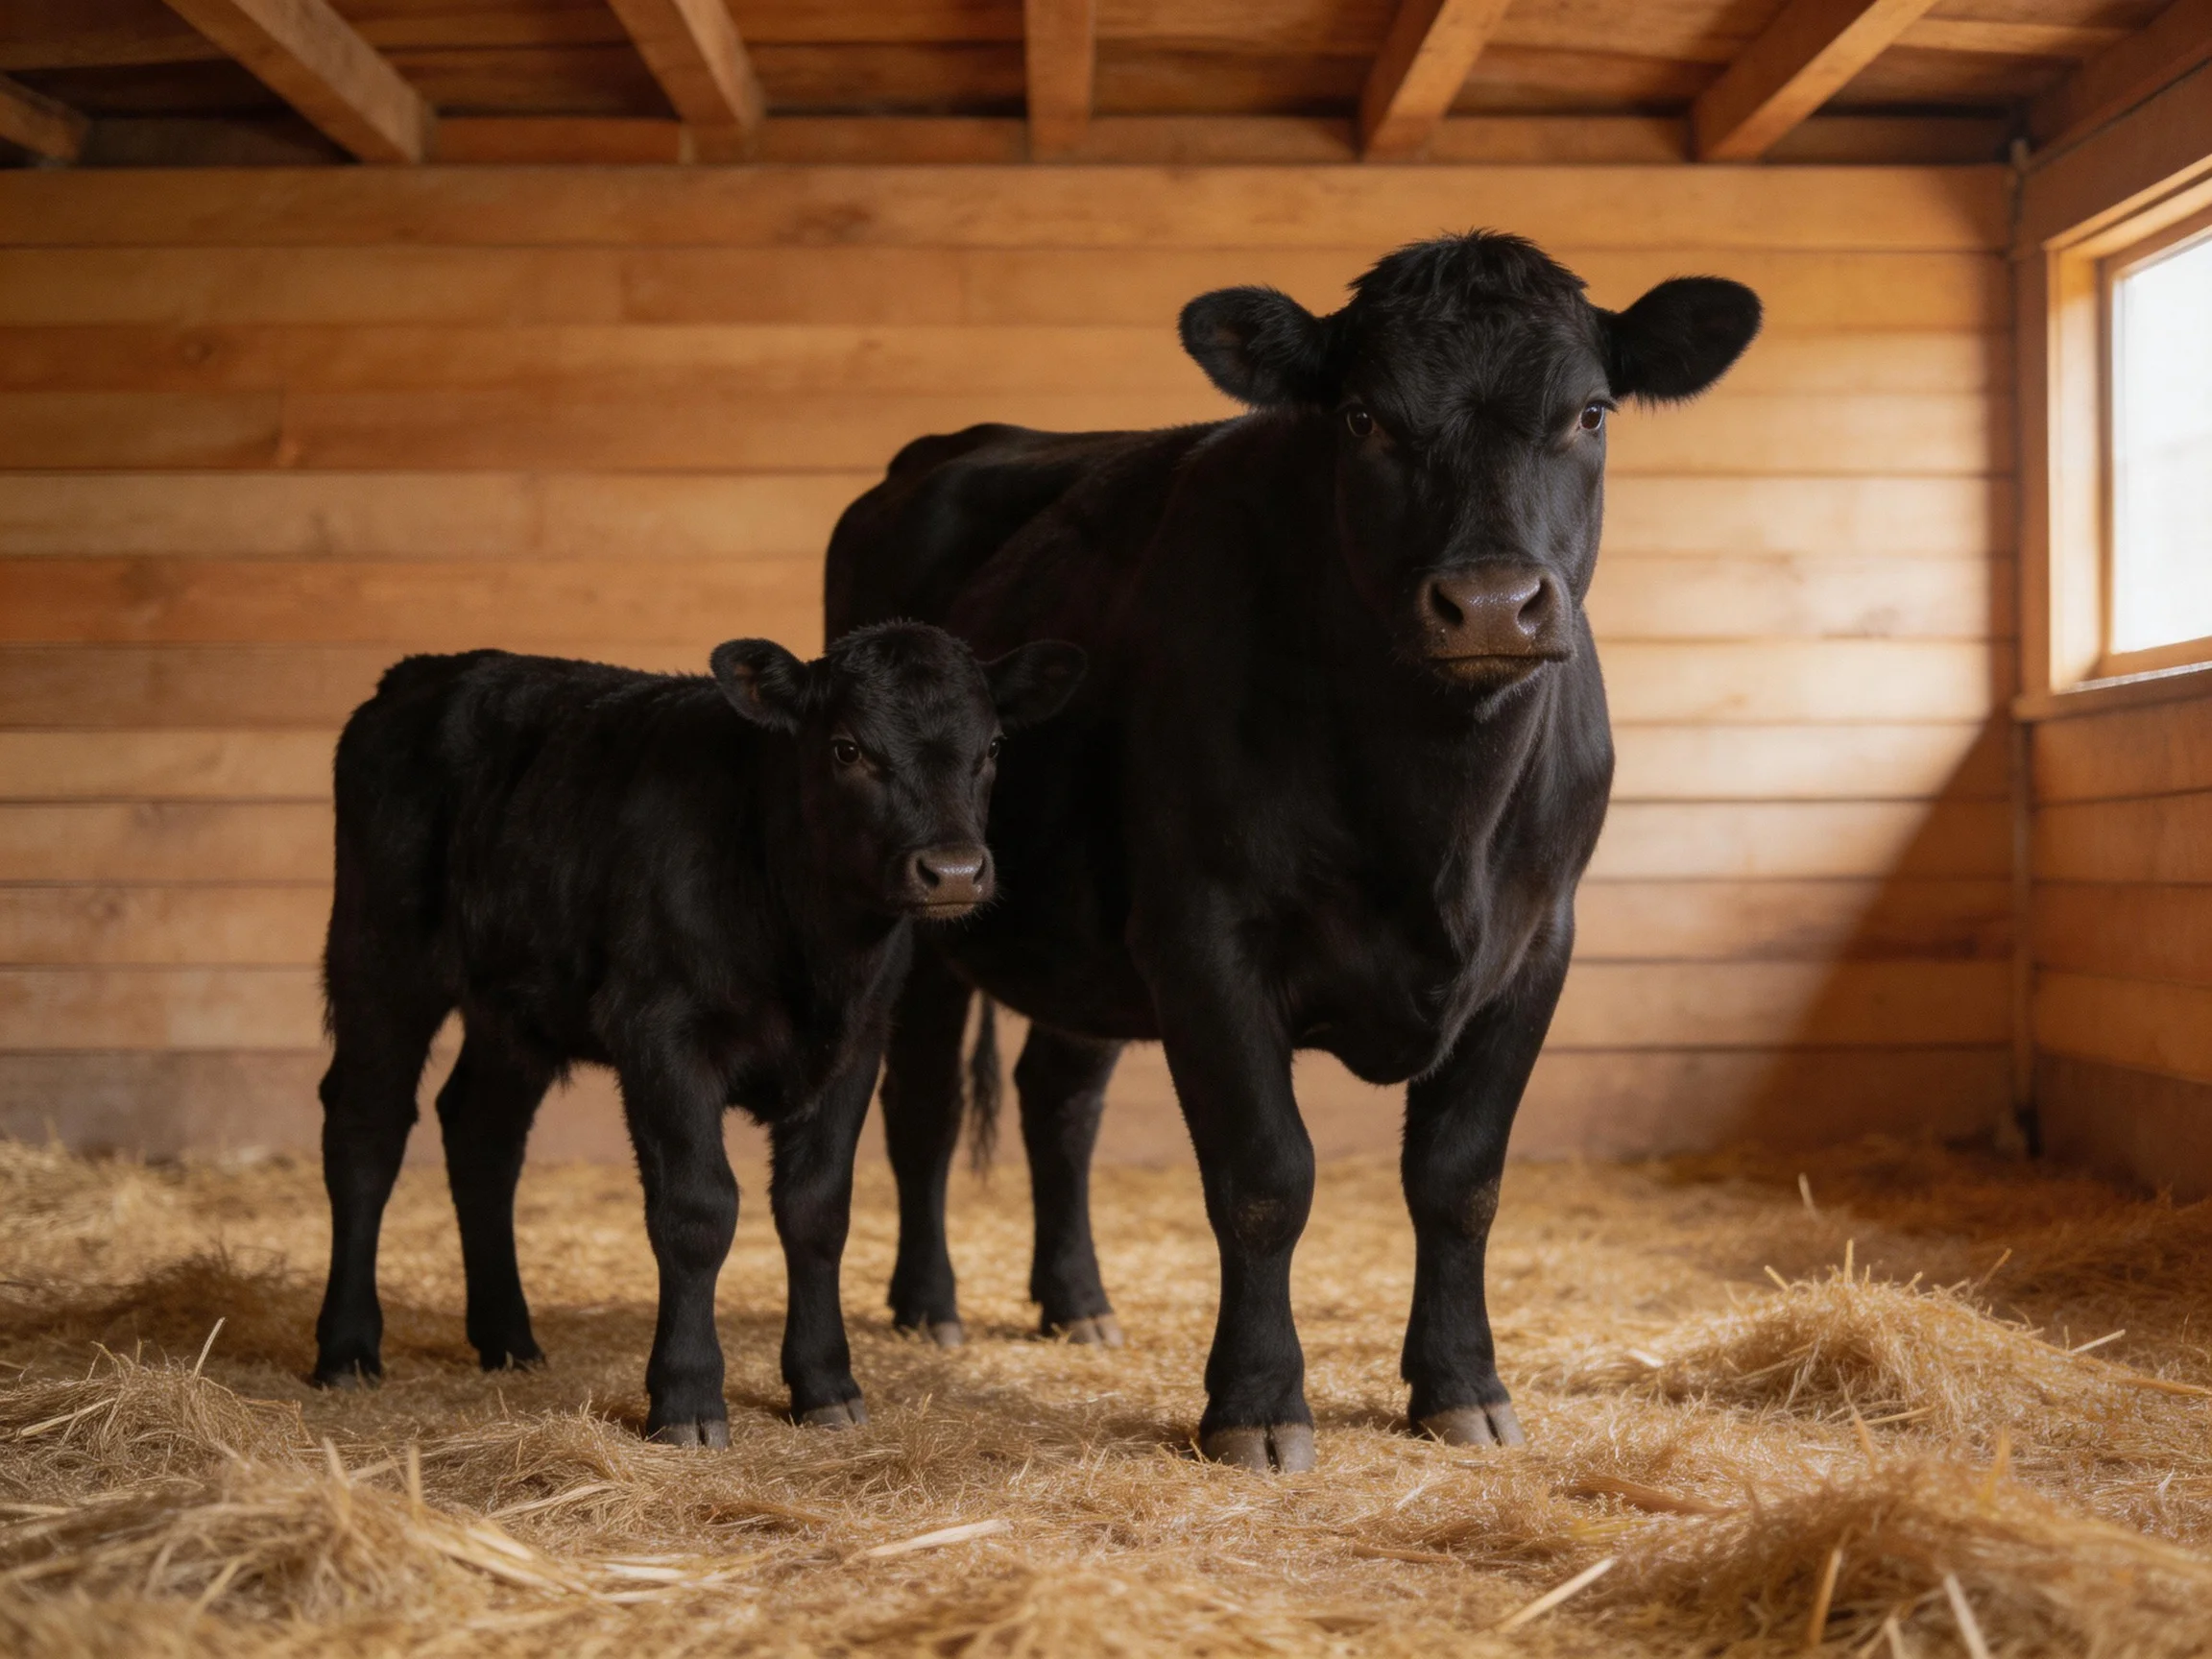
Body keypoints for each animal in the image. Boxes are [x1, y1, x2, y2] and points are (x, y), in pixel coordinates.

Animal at [310, 625, 1084, 1444]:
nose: (955, 870)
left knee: (482, 1133)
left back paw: (509, 1341)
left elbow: (817, 1211)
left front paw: (826, 1385)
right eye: (847, 748)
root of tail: (425, 672)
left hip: (514, 1001)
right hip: (379, 956)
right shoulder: (663, 1035)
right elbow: (697, 1212)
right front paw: (685, 1397)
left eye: (993, 746)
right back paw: (348, 1349)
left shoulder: (857, 1045)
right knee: (365, 1129)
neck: (810, 947)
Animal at [823, 232, 1760, 1471]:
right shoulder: (1203, 932)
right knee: (925, 1101)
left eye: (1592, 412)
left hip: (1086, 935)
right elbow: (1265, 1173)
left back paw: (1078, 1304)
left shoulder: (1537, 945)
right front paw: (1258, 1405)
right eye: (1362, 418)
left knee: (1059, 1101)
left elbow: (1460, 1179)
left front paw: (1463, 1387)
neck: (1436, 815)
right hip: (925, 907)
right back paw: (929, 1306)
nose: (1491, 603)